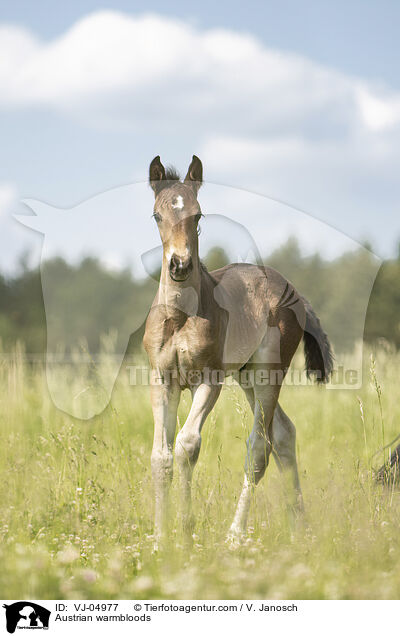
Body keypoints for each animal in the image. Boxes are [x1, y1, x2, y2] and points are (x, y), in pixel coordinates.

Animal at [142, 155, 332, 540]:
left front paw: (185, 530)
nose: (179, 265)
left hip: (268, 374)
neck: (181, 316)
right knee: (284, 433)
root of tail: (294, 292)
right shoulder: (162, 380)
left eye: (198, 216)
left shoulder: (209, 380)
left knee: (260, 447)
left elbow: (187, 445)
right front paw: (160, 538)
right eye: (156, 215)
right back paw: (299, 527)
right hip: (246, 377)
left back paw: (234, 536)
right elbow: (161, 457)